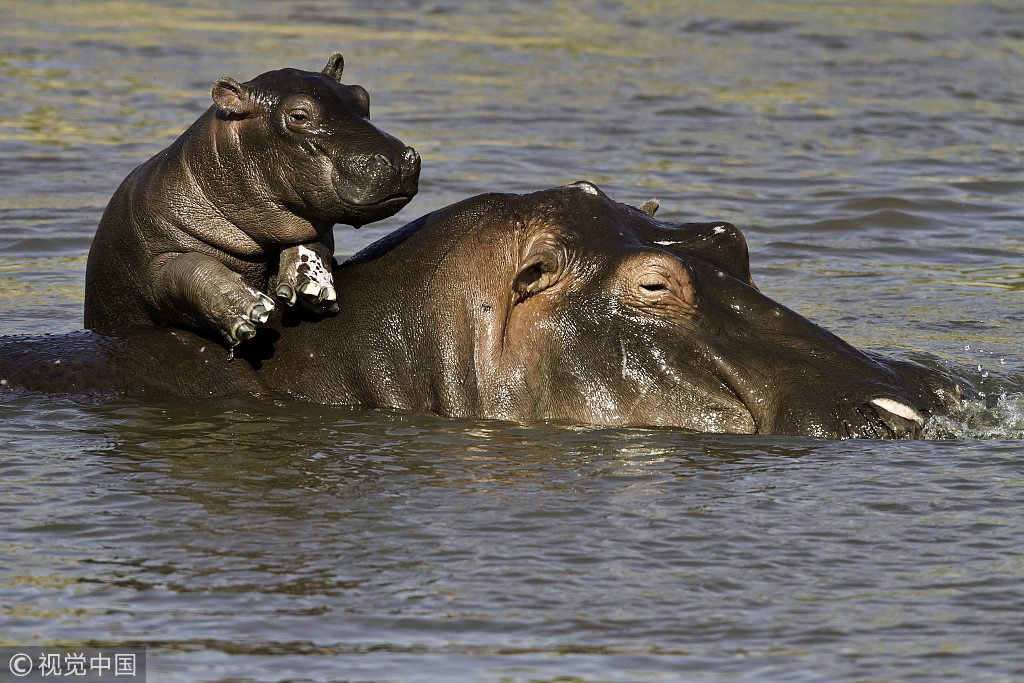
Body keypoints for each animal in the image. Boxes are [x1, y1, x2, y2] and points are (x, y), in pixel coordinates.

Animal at [82, 54, 419, 348]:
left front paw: (312, 284)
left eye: (362, 96)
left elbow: (312, 240)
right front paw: (249, 308)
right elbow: (186, 268)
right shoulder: (153, 264)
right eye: (298, 115)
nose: (397, 159)